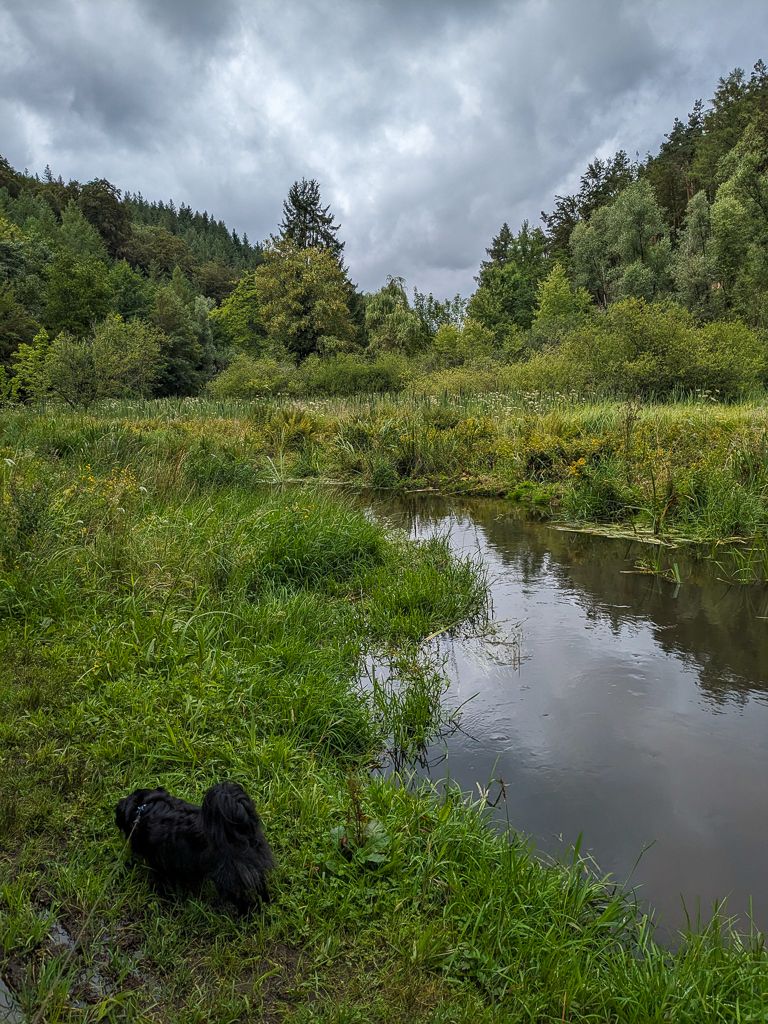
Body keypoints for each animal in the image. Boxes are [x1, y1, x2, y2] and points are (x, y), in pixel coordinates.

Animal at [115, 778, 274, 917]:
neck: (145, 807)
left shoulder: (160, 864)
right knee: (261, 887)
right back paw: (266, 904)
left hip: (229, 878)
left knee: (242, 899)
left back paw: (244, 915)